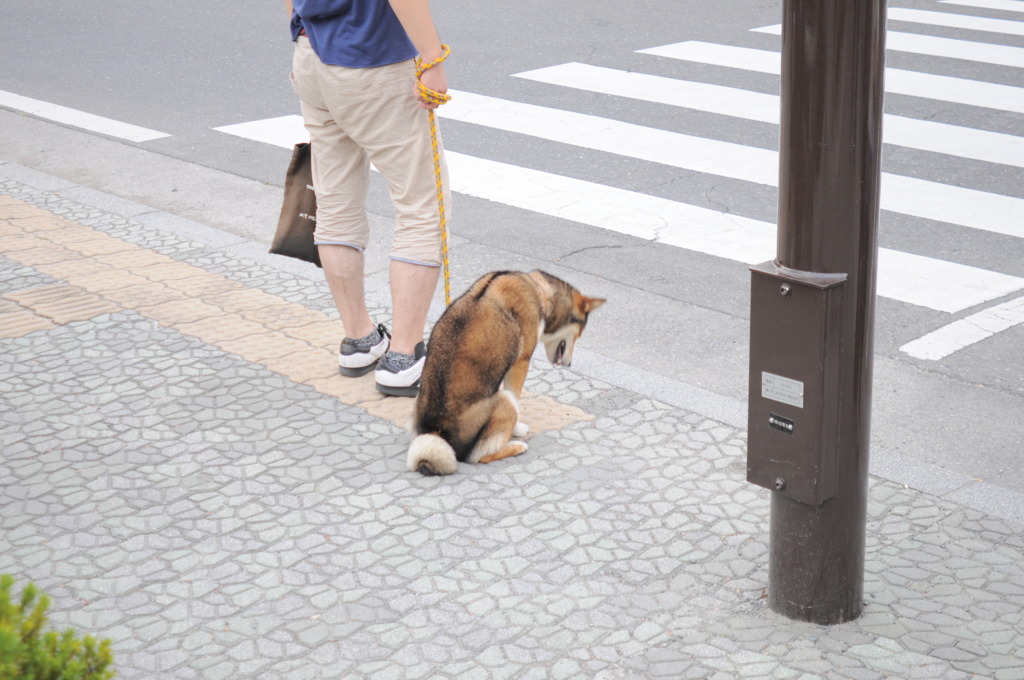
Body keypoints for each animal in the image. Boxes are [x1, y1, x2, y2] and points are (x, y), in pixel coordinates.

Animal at [405, 268, 602, 475]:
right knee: (479, 456)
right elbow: (517, 398)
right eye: (579, 334)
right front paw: (517, 428)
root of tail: (436, 431)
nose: (570, 364)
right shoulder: (520, 364)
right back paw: (517, 446)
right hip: (504, 402)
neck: (539, 291)